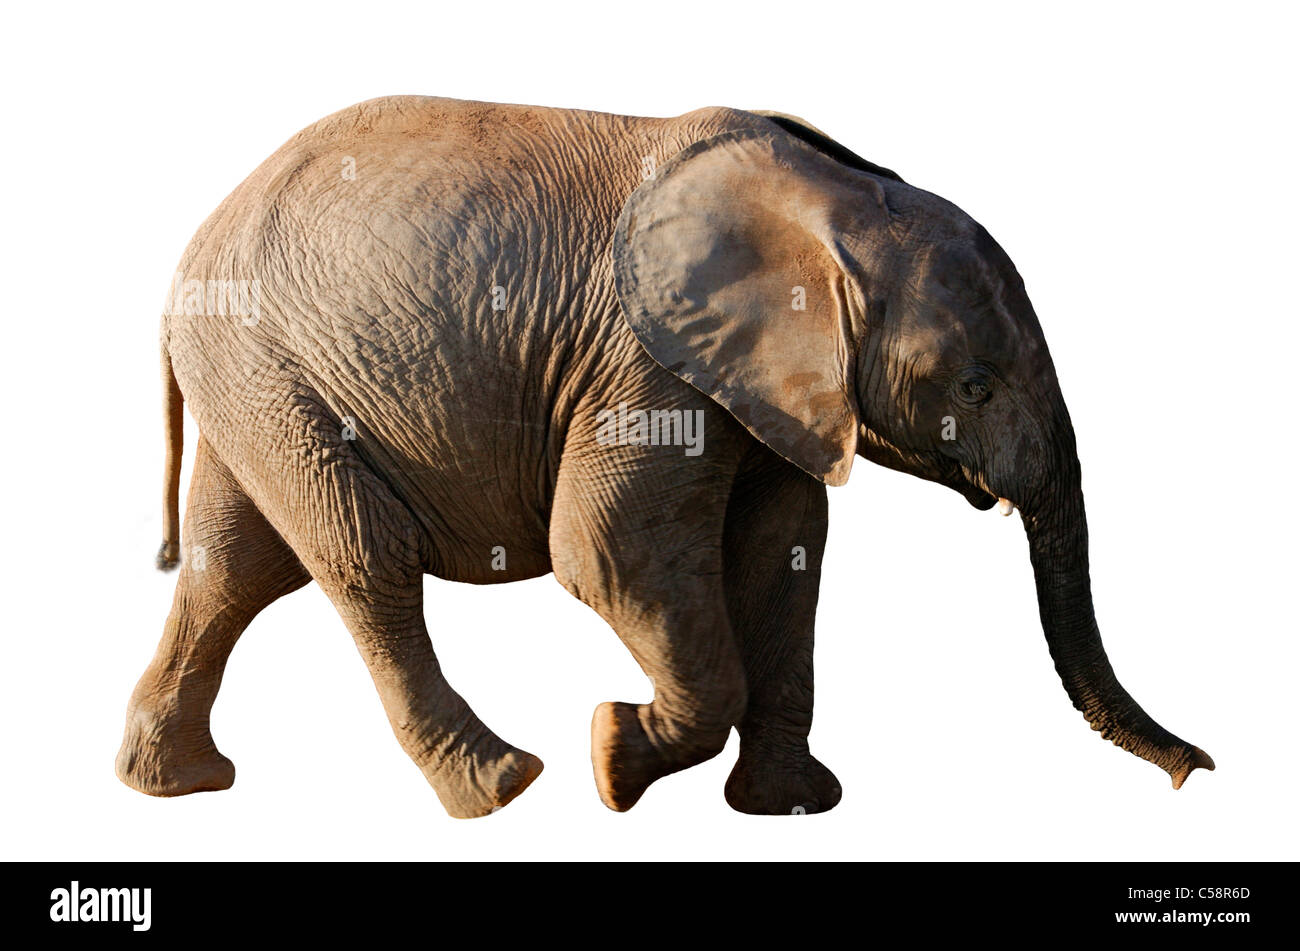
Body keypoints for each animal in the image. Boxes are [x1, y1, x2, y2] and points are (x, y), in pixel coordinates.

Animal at [117, 95, 1213, 818]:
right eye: (976, 386)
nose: (1194, 772)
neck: (837, 200)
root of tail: (191, 248)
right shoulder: (640, 357)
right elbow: (609, 553)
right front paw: (612, 757)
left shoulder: (763, 385)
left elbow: (783, 552)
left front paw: (791, 809)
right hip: (272, 366)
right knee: (361, 555)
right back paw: (502, 787)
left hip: (257, 376)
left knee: (234, 567)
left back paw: (175, 787)